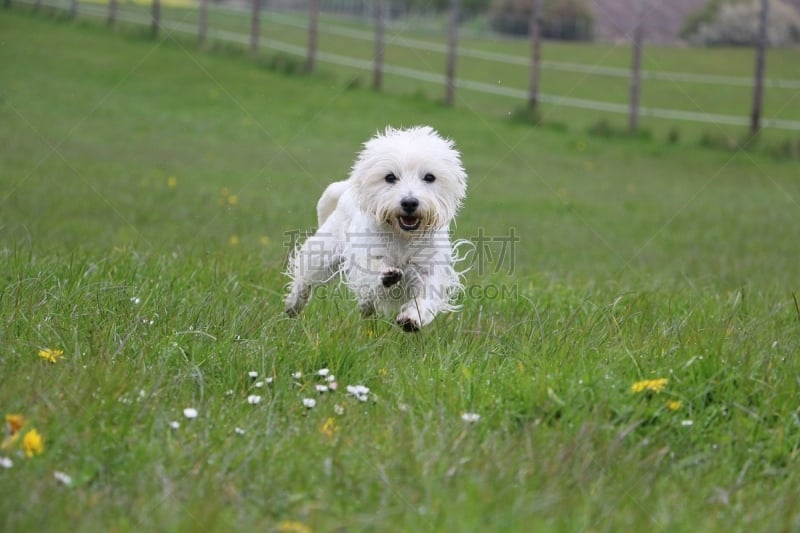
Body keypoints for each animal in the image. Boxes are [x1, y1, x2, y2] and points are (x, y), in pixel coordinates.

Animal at [284, 126, 466, 330]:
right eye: (390, 177)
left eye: (429, 177)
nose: (410, 202)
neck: (402, 236)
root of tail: (347, 188)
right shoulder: (365, 251)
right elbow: (372, 267)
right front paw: (387, 276)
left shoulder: (429, 265)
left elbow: (426, 295)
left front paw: (411, 318)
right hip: (324, 251)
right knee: (305, 278)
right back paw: (293, 306)